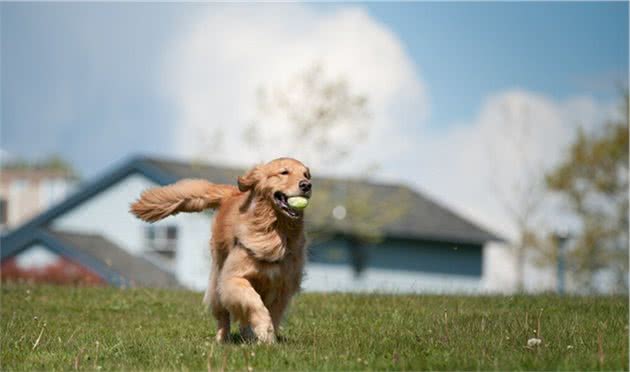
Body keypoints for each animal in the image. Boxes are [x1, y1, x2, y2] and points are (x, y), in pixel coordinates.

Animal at [131, 157, 314, 342]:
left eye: (306, 175)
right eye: (284, 172)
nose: (306, 185)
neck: (274, 230)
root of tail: (231, 192)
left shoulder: (283, 286)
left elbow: (273, 313)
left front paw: (267, 336)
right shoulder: (232, 279)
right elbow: (254, 302)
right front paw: (264, 329)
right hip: (217, 277)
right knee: (223, 315)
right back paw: (222, 339)